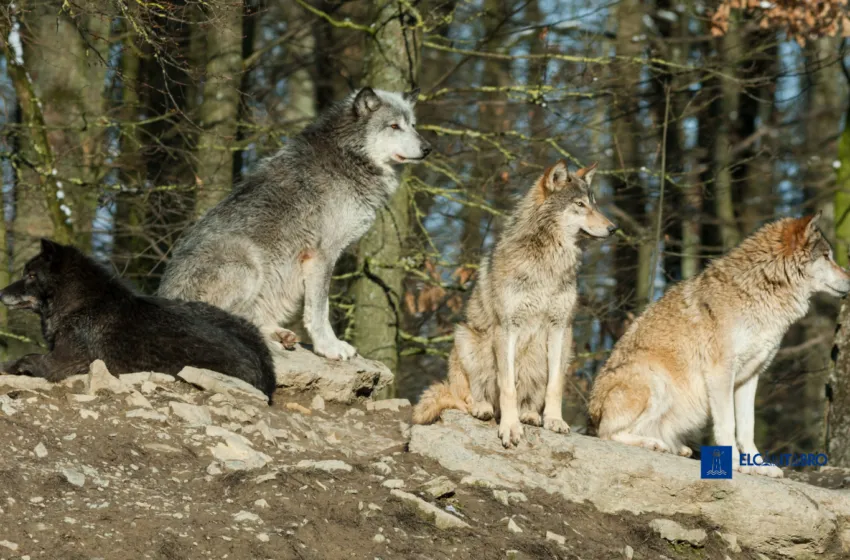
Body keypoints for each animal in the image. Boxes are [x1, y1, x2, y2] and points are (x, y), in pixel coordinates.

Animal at [0, 239, 278, 402]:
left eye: (31, 275)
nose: (1, 293)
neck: (82, 305)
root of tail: (266, 370)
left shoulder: (59, 362)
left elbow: (21, 359)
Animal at [158, 87, 431, 361]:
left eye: (413, 125)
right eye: (394, 126)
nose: (428, 147)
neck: (348, 157)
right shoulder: (323, 255)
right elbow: (320, 310)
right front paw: (329, 347)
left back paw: (280, 335)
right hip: (249, 265)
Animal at [412, 160, 618, 448]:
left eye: (594, 204)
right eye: (579, 204)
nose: (613, 228)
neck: (549, 262)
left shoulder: (561, 328)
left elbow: (555, 385)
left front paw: (554, 420)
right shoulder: (507, 327)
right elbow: (507, 386)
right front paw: (510, 427)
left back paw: (530, 414)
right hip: (466, 338)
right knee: (465, 397)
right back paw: (483, 408)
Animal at [589, 213, 850, 477]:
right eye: (827, 256)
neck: (761, 290)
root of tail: (592, 413)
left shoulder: (750, 377)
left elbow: (747, 428)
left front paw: (758, 466)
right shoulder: (721, 373)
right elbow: (727, 425)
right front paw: (733, 463)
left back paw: (675, 447)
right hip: (656, 381)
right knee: (607, 433)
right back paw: (653, 443)